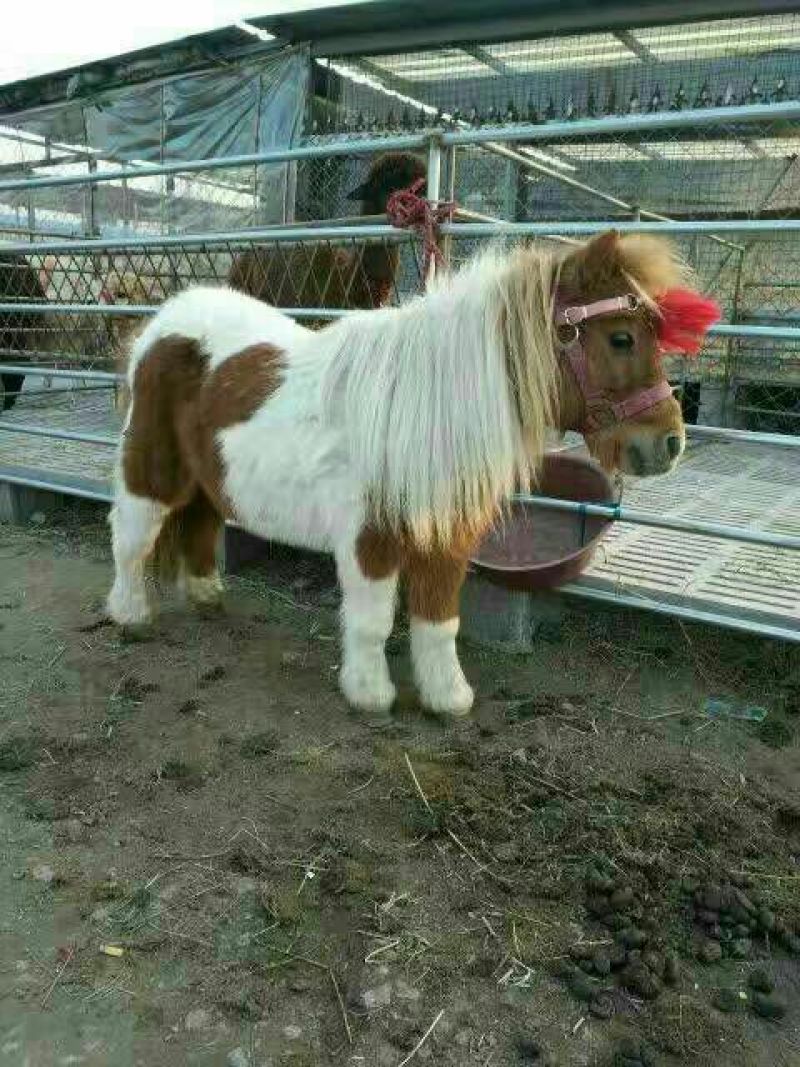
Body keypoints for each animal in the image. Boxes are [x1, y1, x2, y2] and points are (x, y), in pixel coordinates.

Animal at [107, 230, 719, 717]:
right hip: (152, 469)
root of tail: (164, 322)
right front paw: (370, 695)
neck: (427, 406)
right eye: (621, 337)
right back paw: (130, 614)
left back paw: (207, 595)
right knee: (132, 537)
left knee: (201, 521)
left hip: (210, 474)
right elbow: (373, 620)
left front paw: (447, 699)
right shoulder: (370, 539)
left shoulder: (447, 536)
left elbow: (439, 622)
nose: (669, 444)